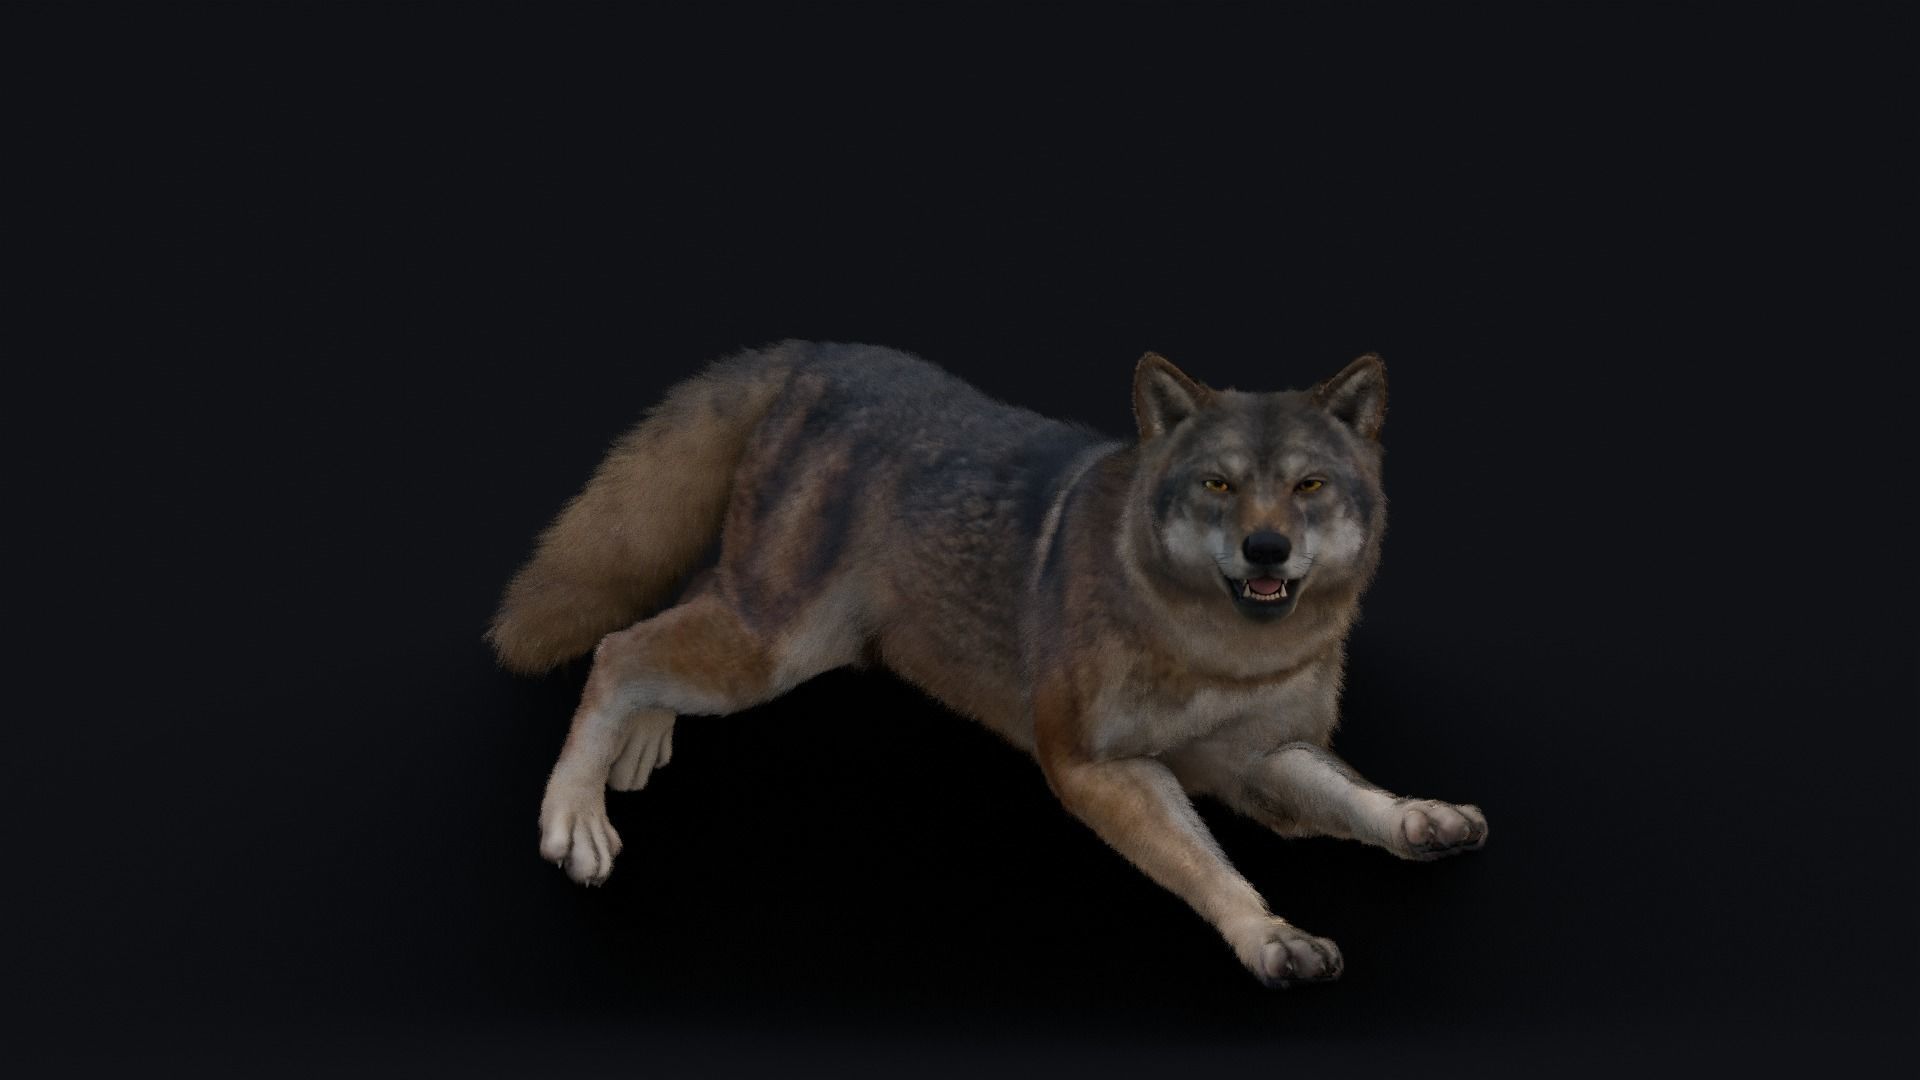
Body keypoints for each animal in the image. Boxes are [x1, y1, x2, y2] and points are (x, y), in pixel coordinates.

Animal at [488, 340, 1487, 988]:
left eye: (1308, 485)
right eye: (1219, 484)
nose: (1266, 549)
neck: (1221, 651)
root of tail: (820, 352)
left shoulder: (1262, 761)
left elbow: (1356, 798)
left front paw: (1423, 819)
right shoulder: (1093, 767)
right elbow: (1208, 866)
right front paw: (1271, 937)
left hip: (767, 628)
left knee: (671, 613)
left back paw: (644, 743)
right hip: (769, 653)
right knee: (618, 649)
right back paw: (575, 817)